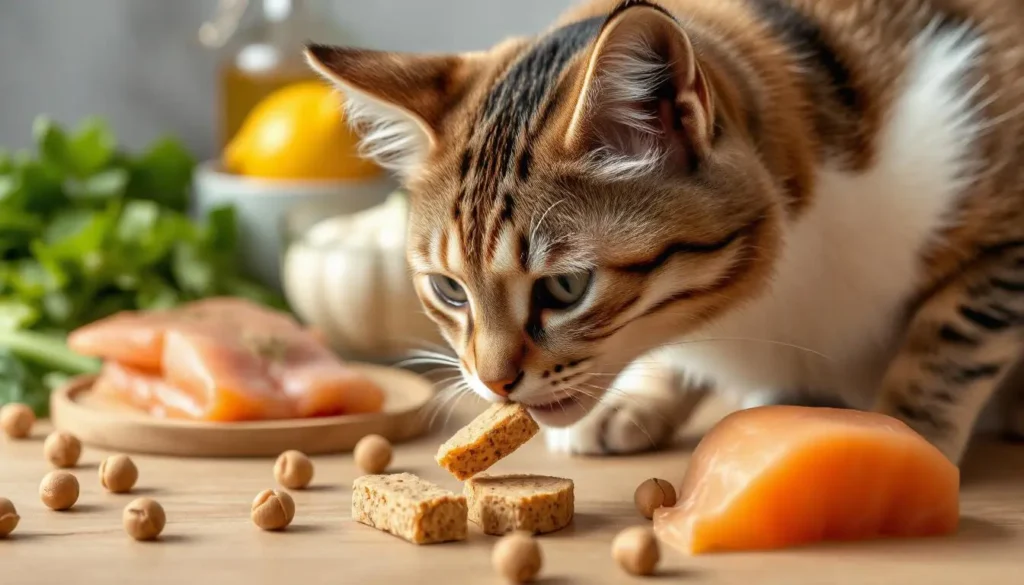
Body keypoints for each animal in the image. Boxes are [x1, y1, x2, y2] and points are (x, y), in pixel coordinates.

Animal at [307, 0, 1024, 467]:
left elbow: (950, 337)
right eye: (449, 290)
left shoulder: (1005, 240)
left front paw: (906, 432)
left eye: (566, 287)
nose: (493, 384)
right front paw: (640, 397)